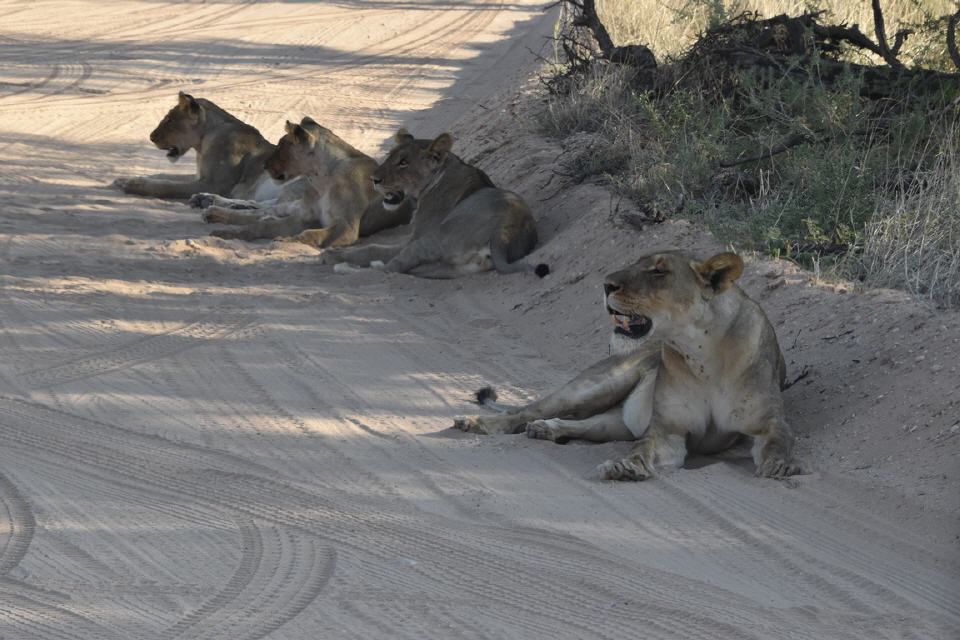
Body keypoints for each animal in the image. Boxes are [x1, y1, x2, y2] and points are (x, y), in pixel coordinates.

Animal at [322, 129, 548, 278]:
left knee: (390, 269)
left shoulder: (413, 239)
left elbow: (373, 248)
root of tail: (505, 233)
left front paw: (336, 254)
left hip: (434, 239)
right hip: (451, 268)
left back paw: (343, 266)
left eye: (403, 162)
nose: (374, 179)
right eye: (390, 157)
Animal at [454, 250, 800, 480]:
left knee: (587, 424)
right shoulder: (667, 429)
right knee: (526, 411)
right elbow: (643, 449)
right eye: (635, 264)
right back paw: (476, 423)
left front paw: (779, 466)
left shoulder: (769, 422)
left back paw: (545, 429)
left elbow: (778, 442)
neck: (702, 356)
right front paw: (624, 467)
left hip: (617, 421)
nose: (606, 285)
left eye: (658, 271)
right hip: (598, 385)